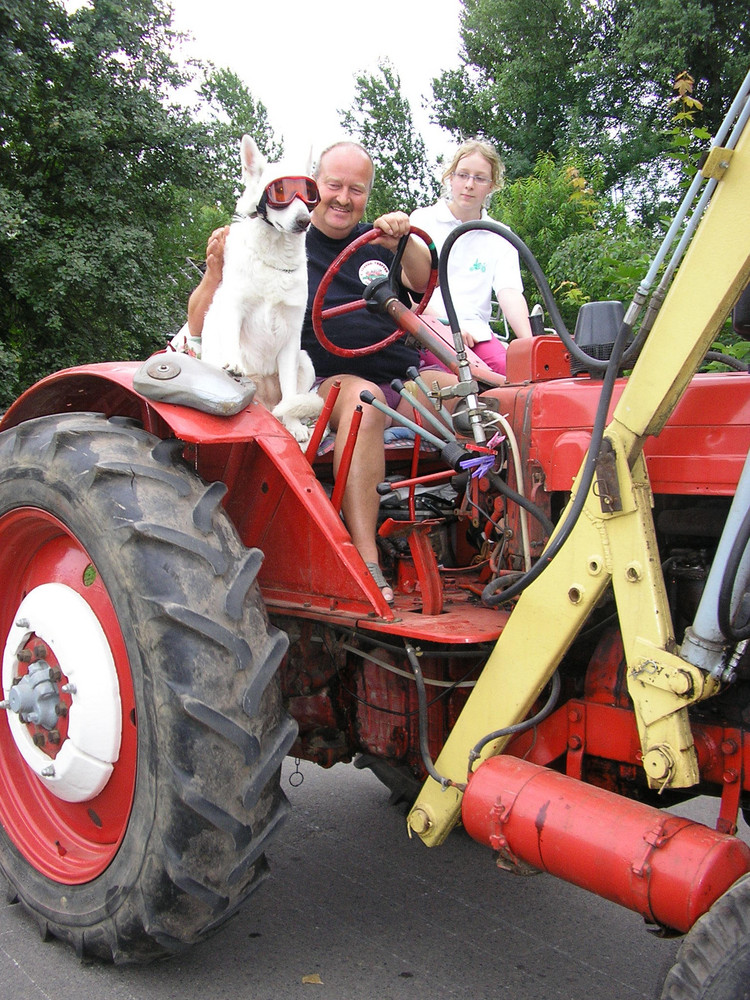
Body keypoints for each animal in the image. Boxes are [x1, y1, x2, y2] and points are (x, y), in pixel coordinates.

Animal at [201, 136, 324, 442]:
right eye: (279, 191)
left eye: (308, 194)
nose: (304, 221)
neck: (275, 259)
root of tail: (264, 405)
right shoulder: (236, 308)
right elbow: (233, 341)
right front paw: (234, 363)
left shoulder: (292, 334)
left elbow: (290, 393)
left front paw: (293, 425)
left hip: (305, 361)